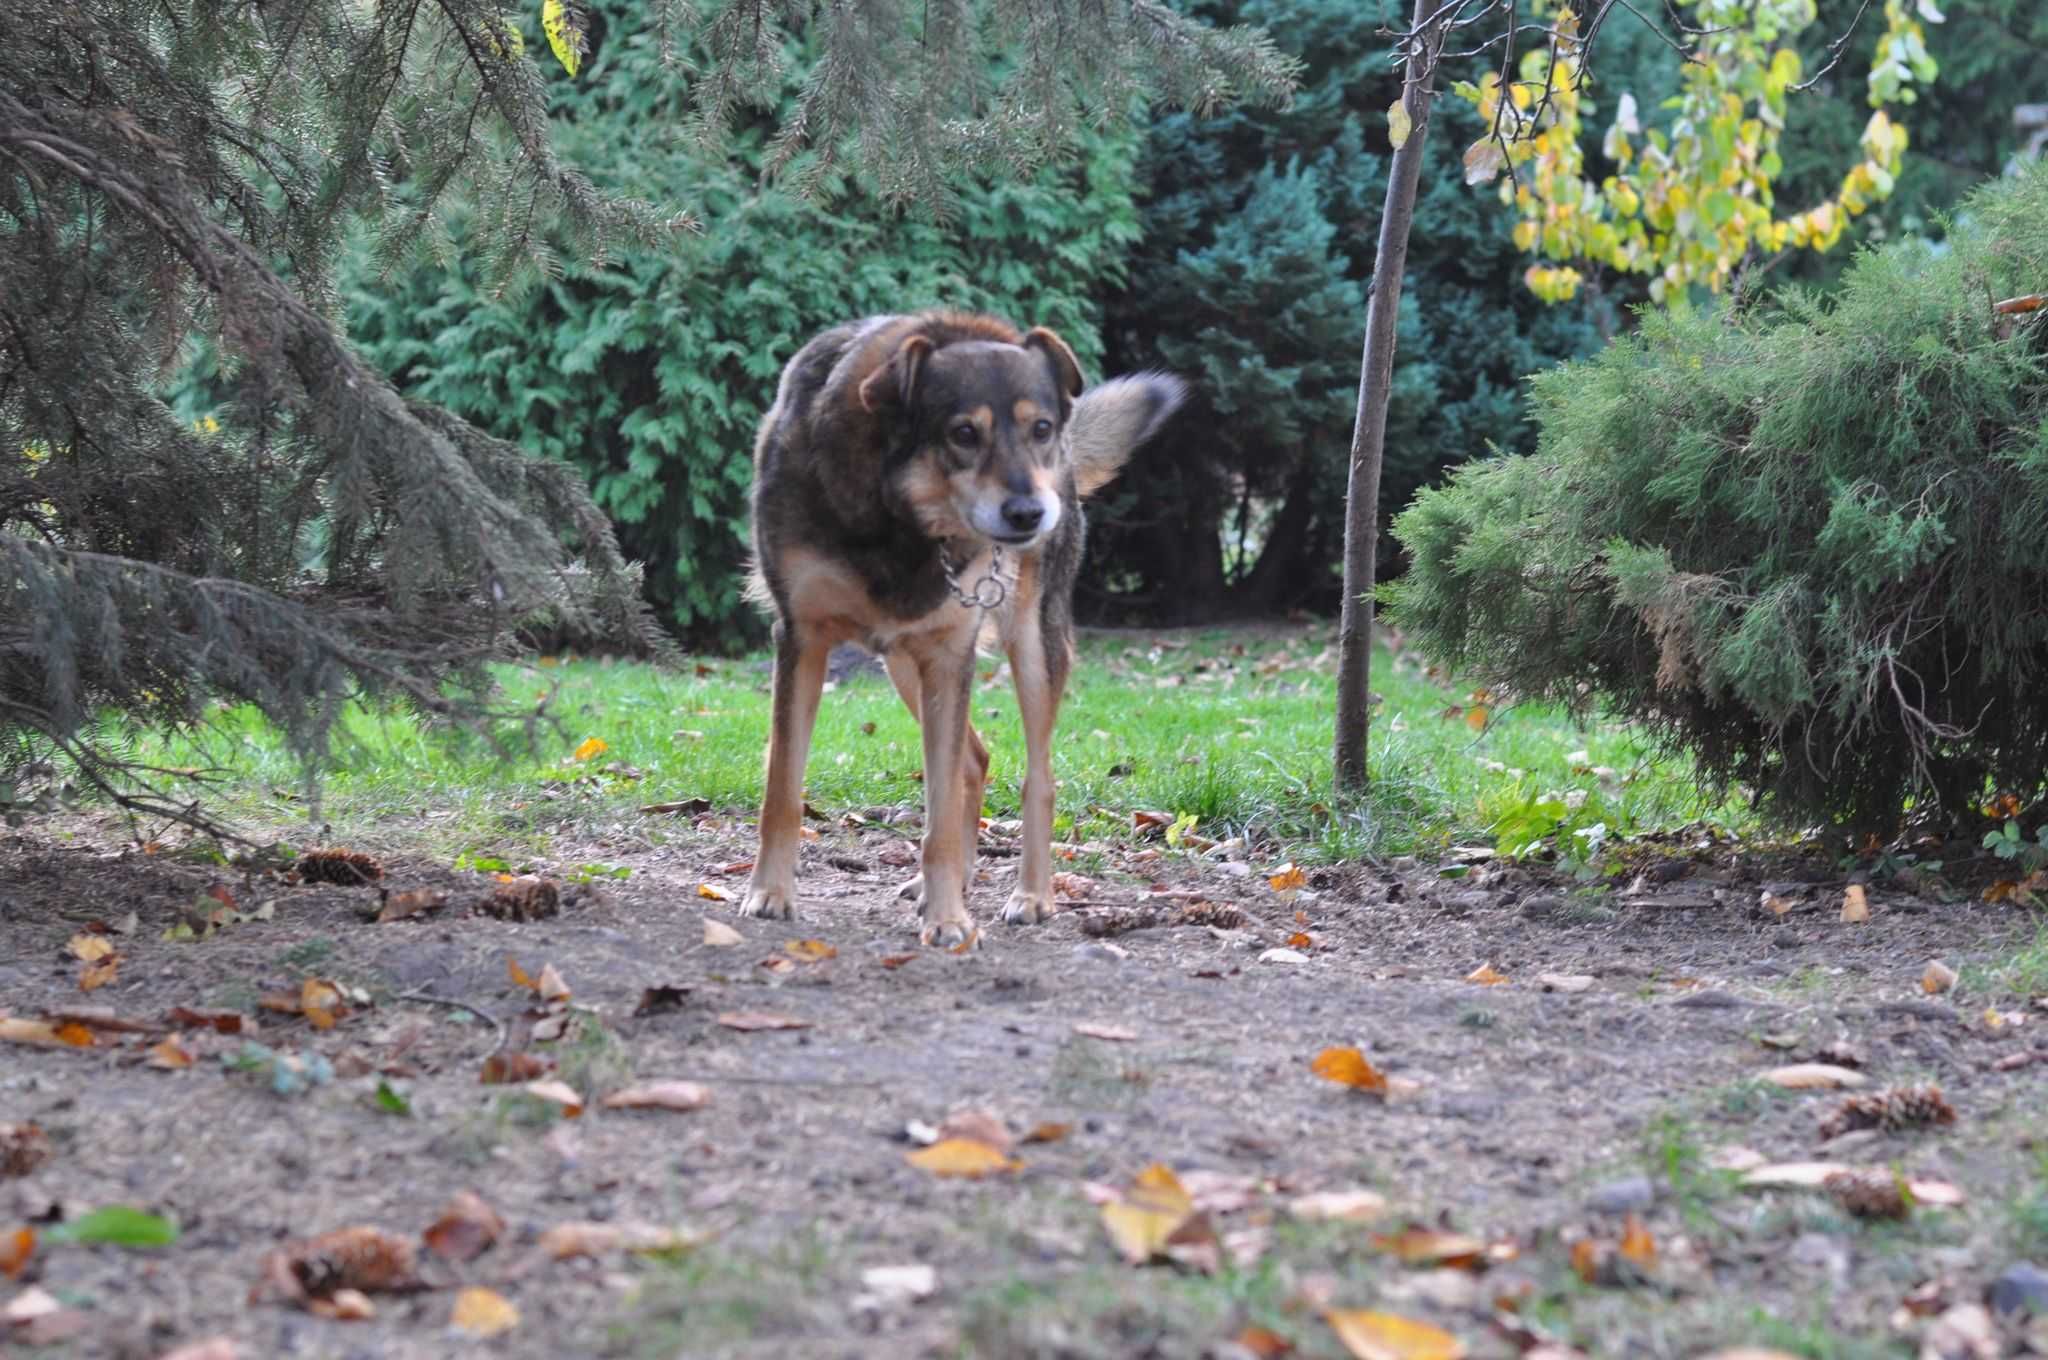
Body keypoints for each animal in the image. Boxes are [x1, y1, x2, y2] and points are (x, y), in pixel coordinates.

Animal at [741, 311, 1187, 946]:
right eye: (963, 433)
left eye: (1040, 428)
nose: (1030, 513)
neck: (900, 522)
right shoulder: (800, 639)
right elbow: (782, 788)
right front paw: (770, 893)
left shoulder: (951, 655)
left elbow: (943, 816)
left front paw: (949, 918)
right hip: (903, 665)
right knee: (975, 760)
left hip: (1030, 647)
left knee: (1037, 779)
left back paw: (1031, 895)